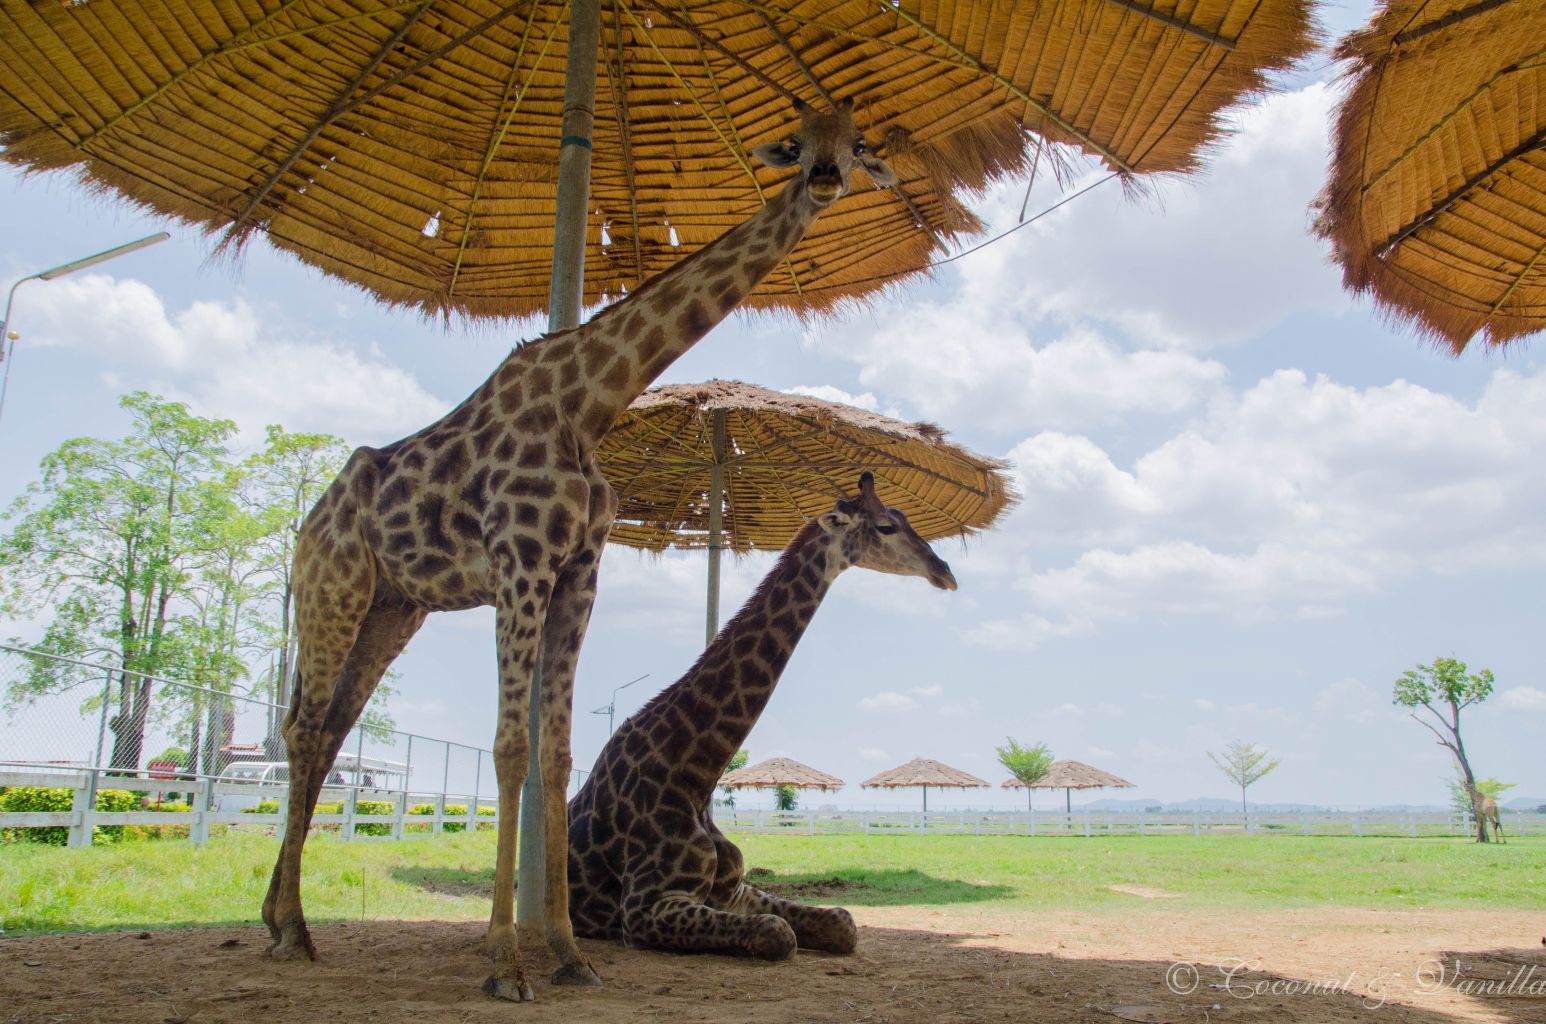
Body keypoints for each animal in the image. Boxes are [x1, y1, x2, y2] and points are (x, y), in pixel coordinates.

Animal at [259, 98, 902, 1002]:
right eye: (799, 140)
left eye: (859, 144)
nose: (823, 178)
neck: (589, 400)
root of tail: (307, 526)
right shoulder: (520, 562)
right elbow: (510, 748)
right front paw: (504, 964)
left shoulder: (578, 572)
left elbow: (557, 755)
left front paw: (567, 953)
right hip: (333, 590)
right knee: (307, 729)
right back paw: (291, 929)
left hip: (394, 608)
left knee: (327, 730)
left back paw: (278, 921)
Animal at [568, 476, 952, 965]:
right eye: (886, 526)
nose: (944, 571)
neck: (694, 773)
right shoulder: (643, 908)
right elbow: (778, 932)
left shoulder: (733, 891)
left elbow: (842, 922)